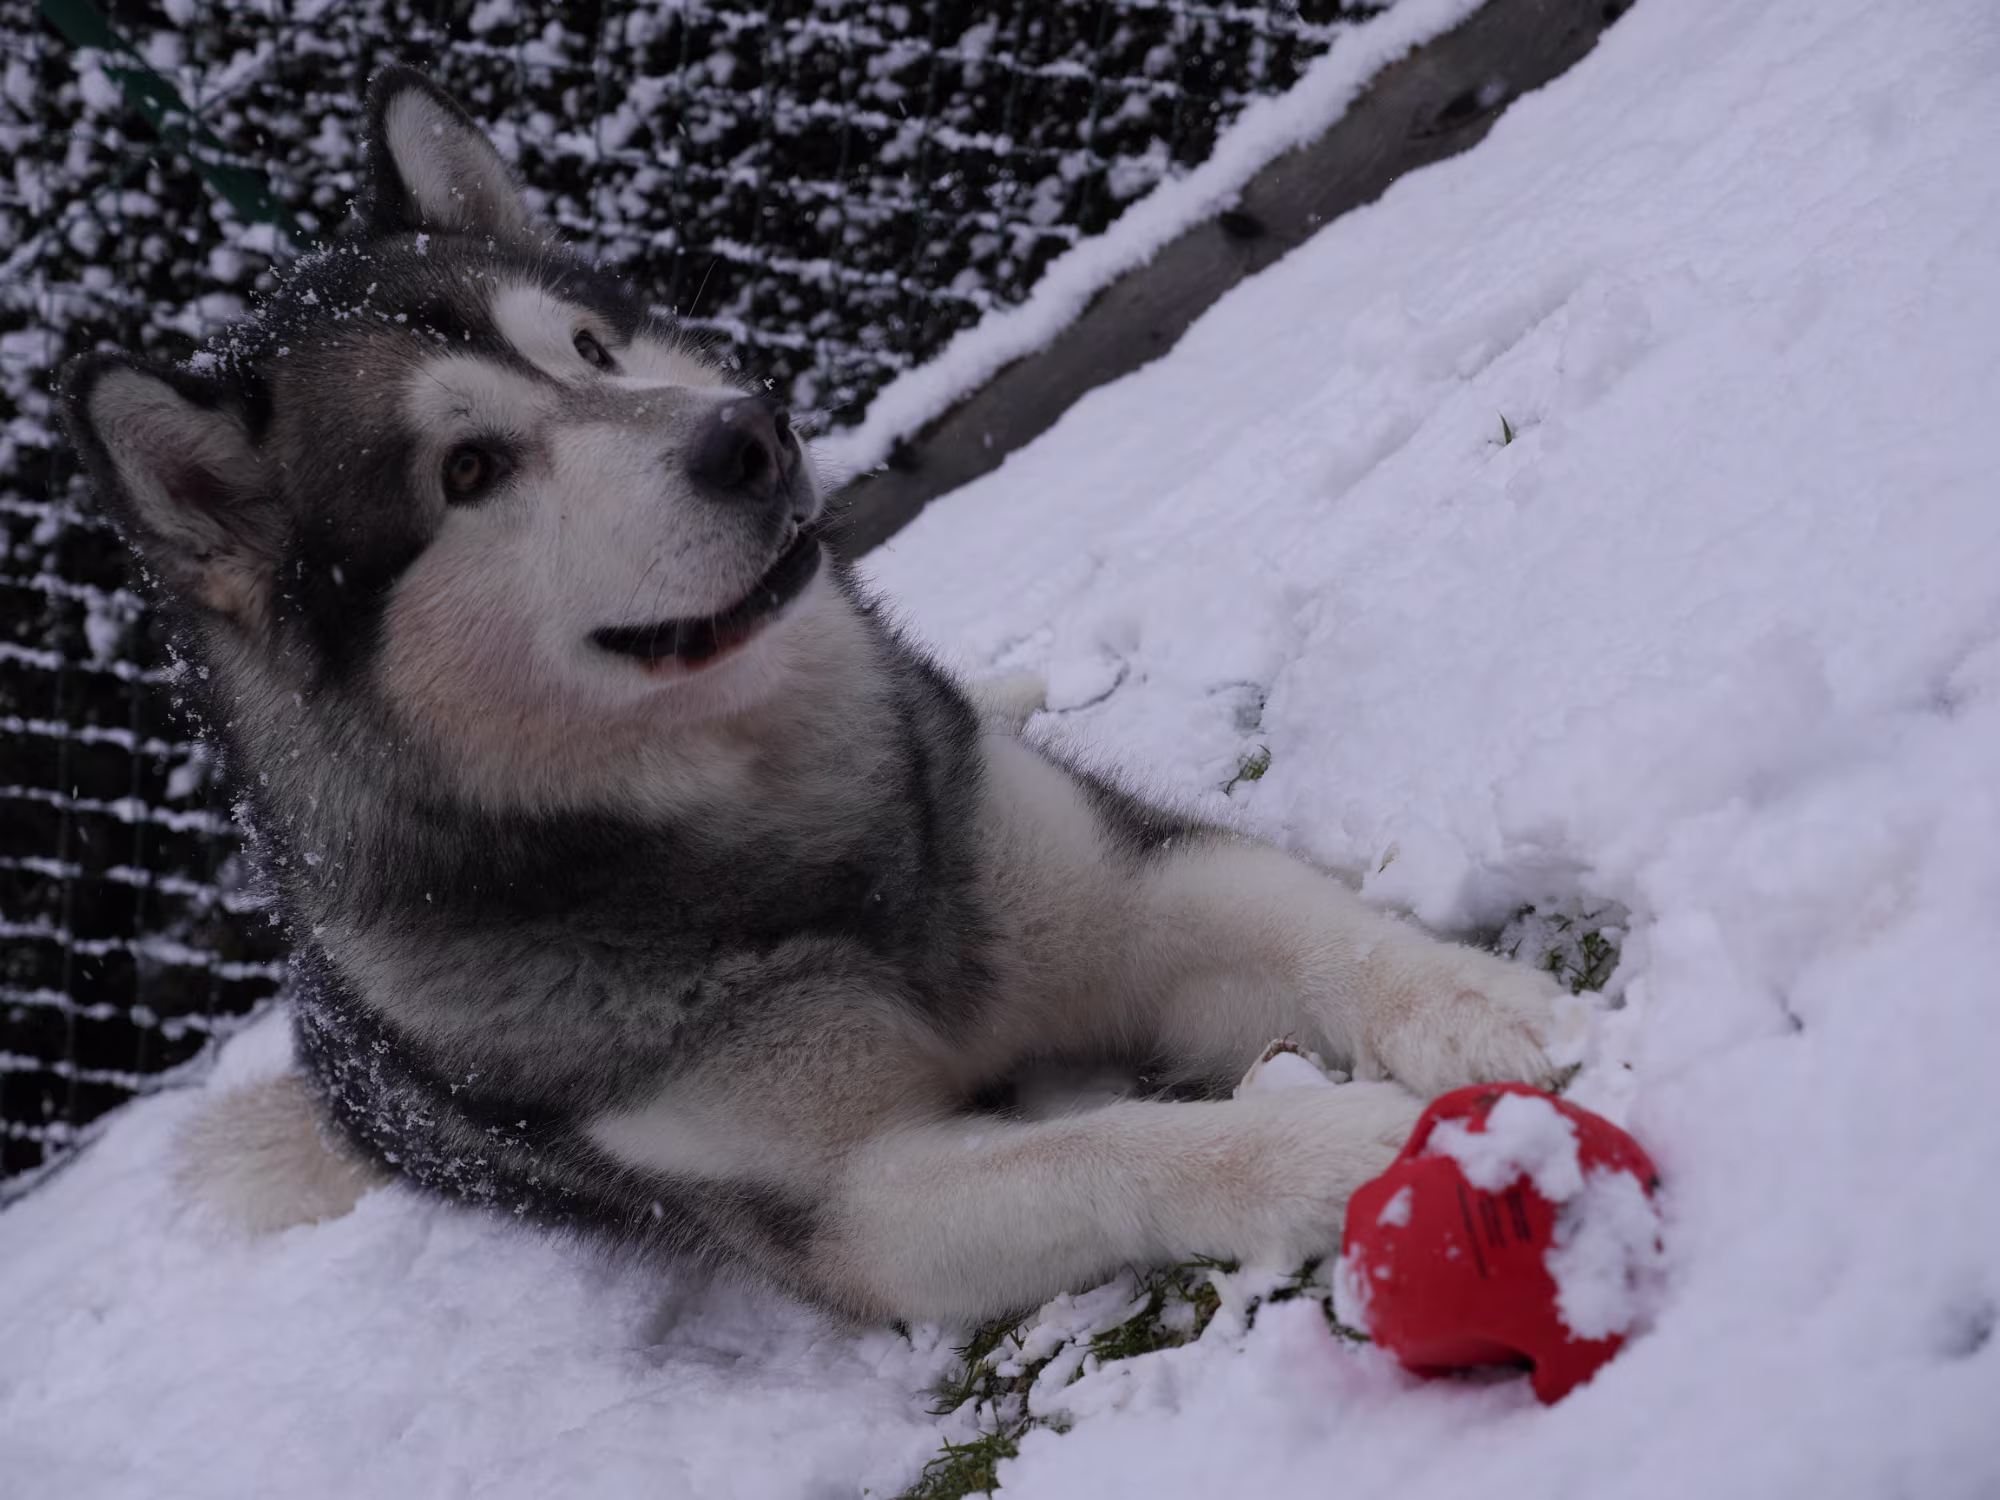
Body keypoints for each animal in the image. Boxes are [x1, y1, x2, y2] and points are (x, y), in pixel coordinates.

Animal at [59, 67, 1564, 1325]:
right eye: (469, 470)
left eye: (589, 350)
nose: (749, 433)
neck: (792, 836)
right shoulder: (857, 1205)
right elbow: (1108, 1145)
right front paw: (1339, 1143)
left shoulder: (1118, 884)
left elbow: (1316, 925)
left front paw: (1490, 1008)